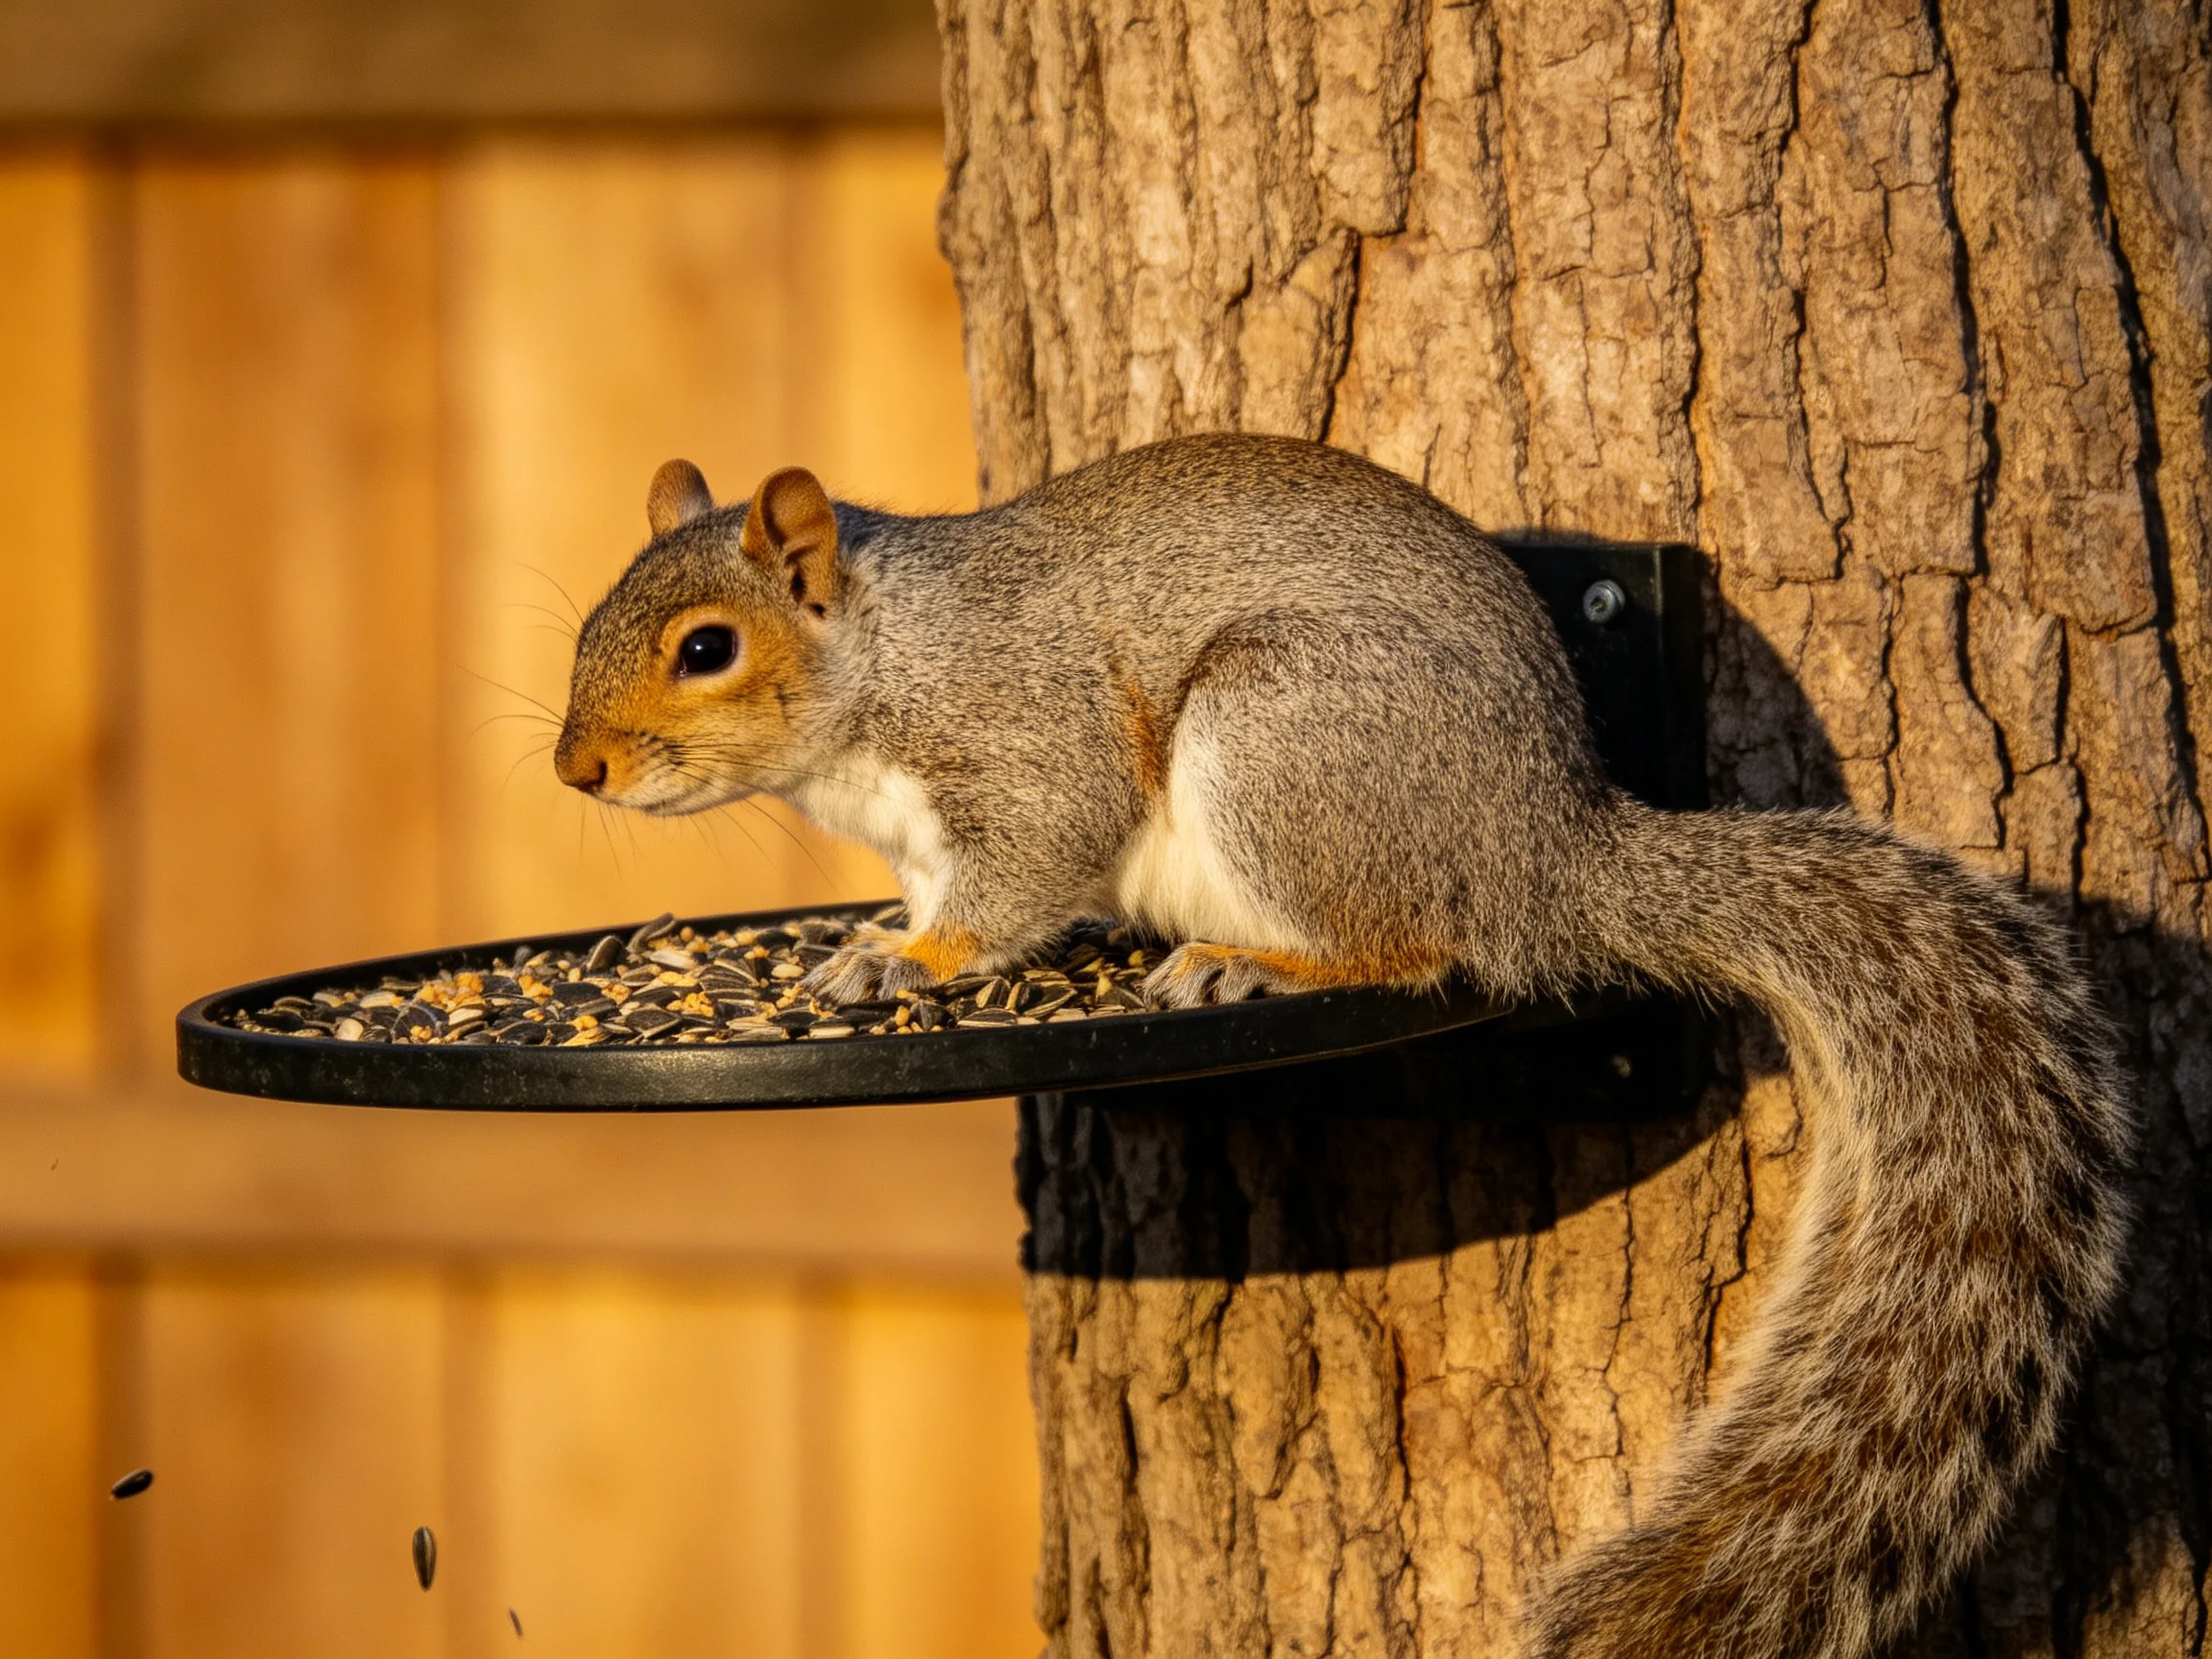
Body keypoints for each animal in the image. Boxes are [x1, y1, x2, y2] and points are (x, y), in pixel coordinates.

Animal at [555, 432, 2130, 1659]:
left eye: (708, 650)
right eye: (586, 630)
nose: (576, 770)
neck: (882, 660)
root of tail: (1540, 852)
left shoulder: (1025, 746)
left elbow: (1020, 872)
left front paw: (908, 960)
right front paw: (878, 935)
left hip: (1287, 737)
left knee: (1415, 944)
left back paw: (1252, 960)